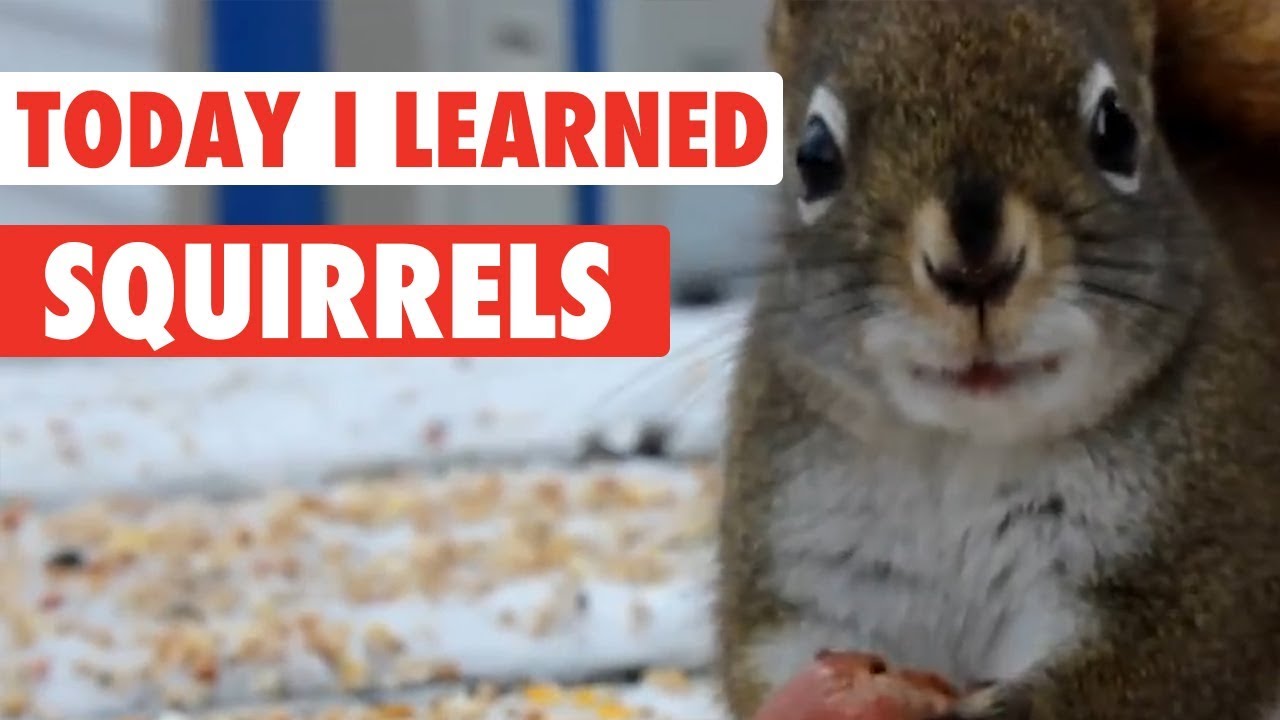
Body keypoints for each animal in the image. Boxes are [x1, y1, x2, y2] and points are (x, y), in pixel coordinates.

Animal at [716, 2, 1280, 720]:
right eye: (814, 156)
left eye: (1117, 130)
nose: (975, 267)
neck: (964, 448)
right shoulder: (811, 563)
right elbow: (776, 652)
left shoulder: (1203, 558)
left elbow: (1152, 670)